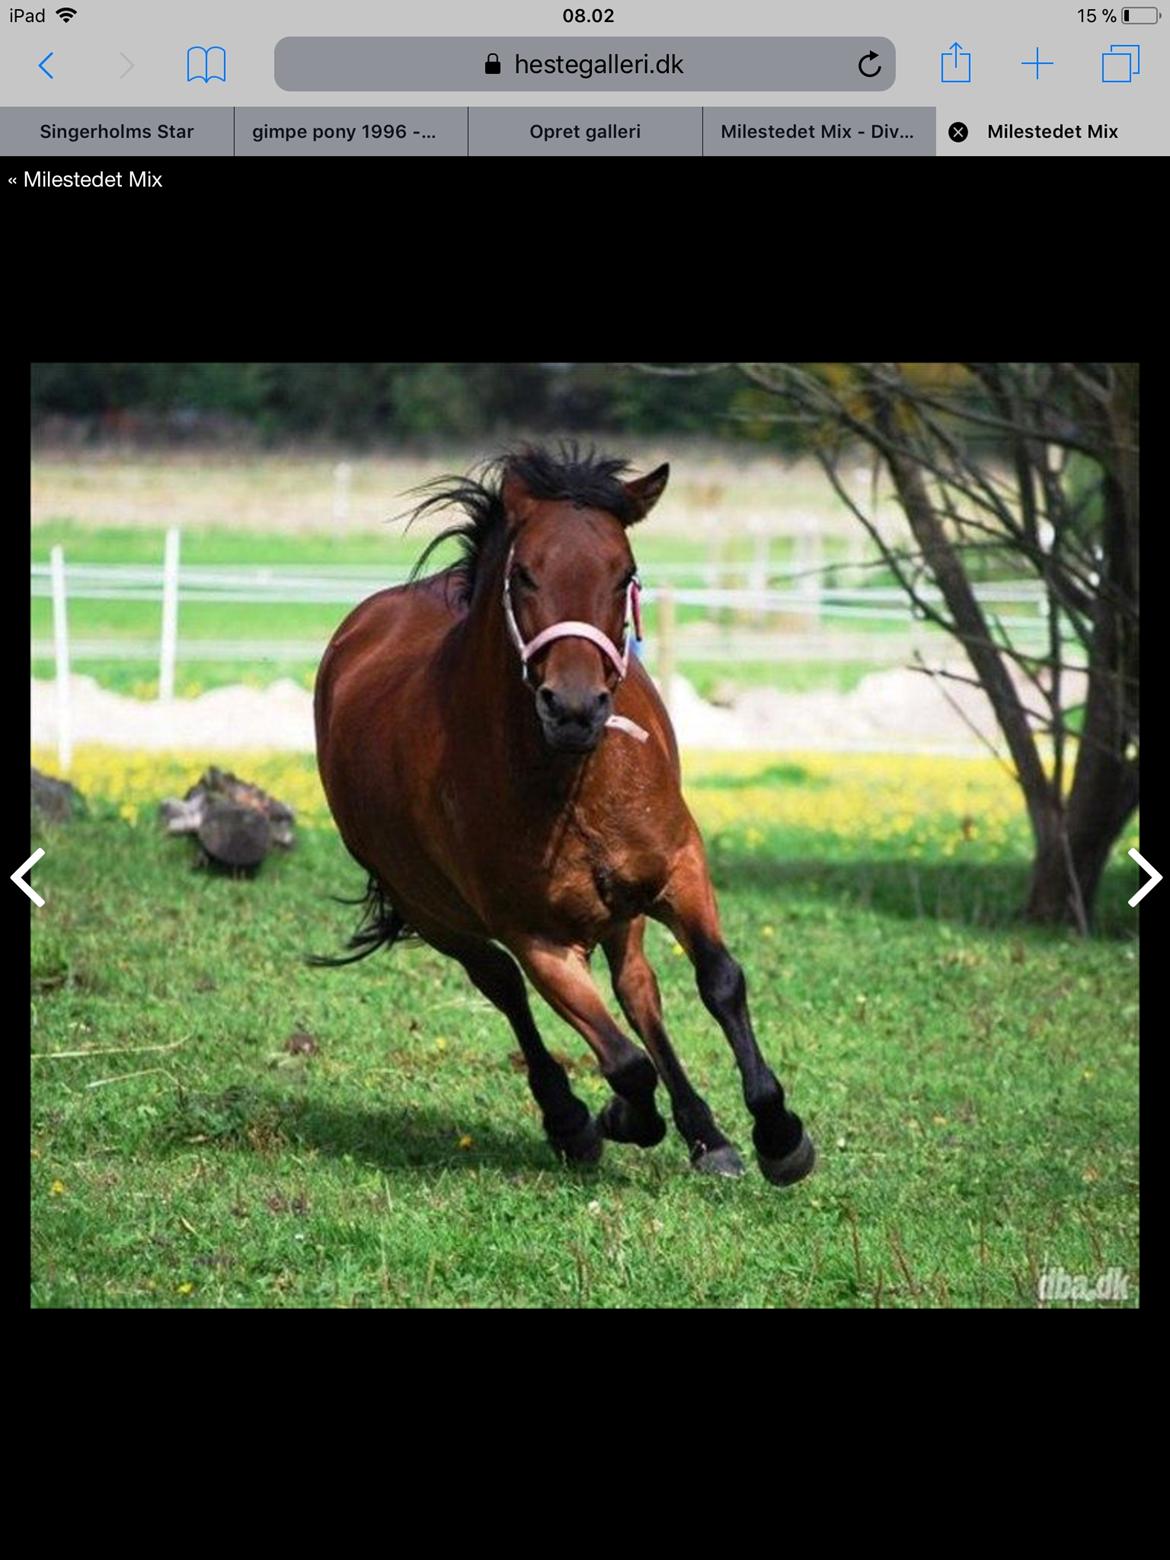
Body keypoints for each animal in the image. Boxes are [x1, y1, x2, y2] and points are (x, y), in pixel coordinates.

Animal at [316, 443, 817, 1179]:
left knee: (638, 988)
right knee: (503, 986)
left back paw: (707, 1135)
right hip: (434, 914)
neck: (570, 782)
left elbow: (719, 981)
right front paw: (616, 1119)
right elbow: (624, 1063)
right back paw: (572, 1119)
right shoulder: (538, 939)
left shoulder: (678, 869)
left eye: (624, 573)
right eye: (525, 573)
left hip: (619, 910)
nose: (574, 708)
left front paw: (779, 1134)